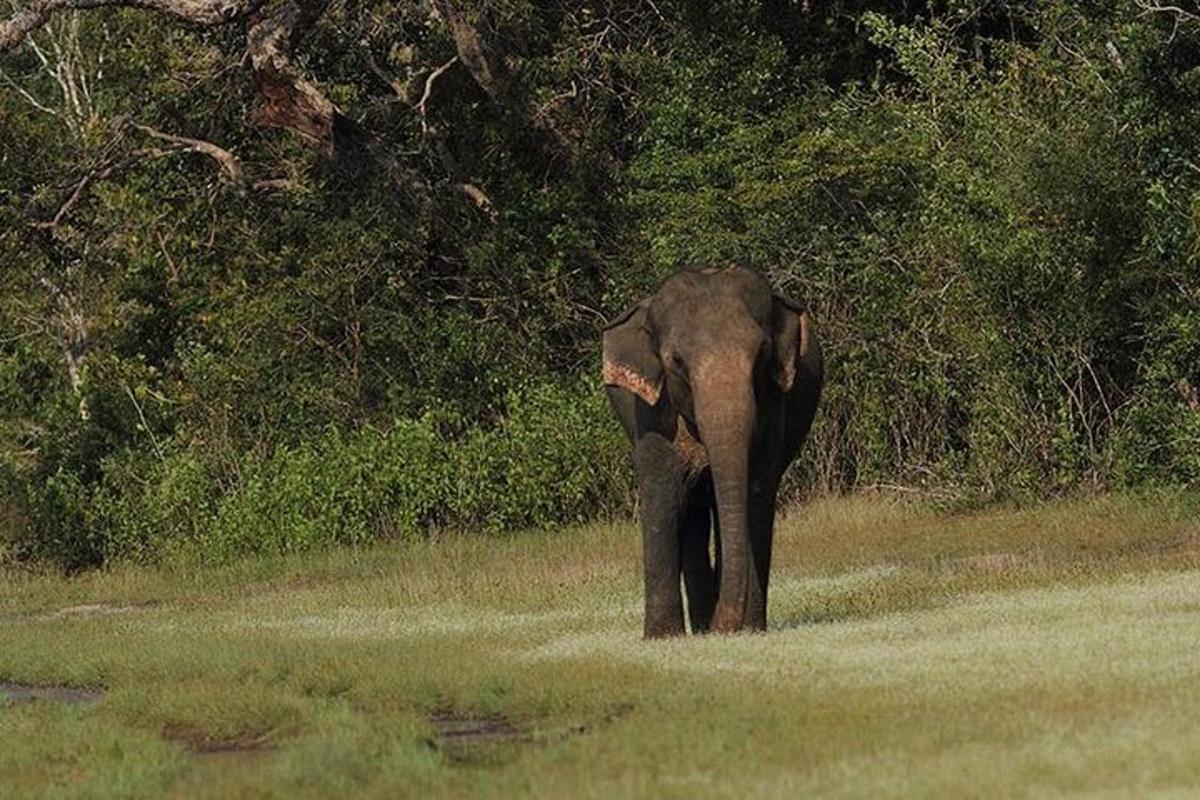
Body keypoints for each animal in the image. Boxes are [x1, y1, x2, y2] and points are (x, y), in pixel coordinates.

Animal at [604, 266, 820, 642]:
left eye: (762, 353)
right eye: (676, 361)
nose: (724, 627)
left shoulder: (774, 405)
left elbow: (755, 492)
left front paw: (747, 630)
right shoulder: (650, 414)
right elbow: (663, 492)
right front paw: (661, 638)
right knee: (691, 510)